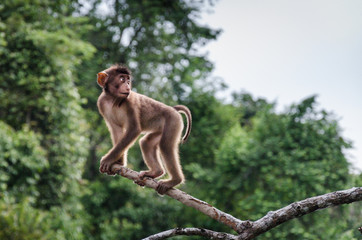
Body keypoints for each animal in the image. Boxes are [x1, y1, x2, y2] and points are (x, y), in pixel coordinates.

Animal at [96, 64, 192, 195]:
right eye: (122, 79)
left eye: (128, 80)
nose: (128, 86)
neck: (113, 99)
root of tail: (172, 109)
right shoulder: (101, 103)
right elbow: (117, 131)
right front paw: (118, 162)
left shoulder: (130, 103)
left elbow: (134, 129)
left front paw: (108, 159)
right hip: (161, 127)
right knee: (146, 143)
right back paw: (156, 172)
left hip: (173, 121)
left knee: (165, 145)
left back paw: (174, 180)